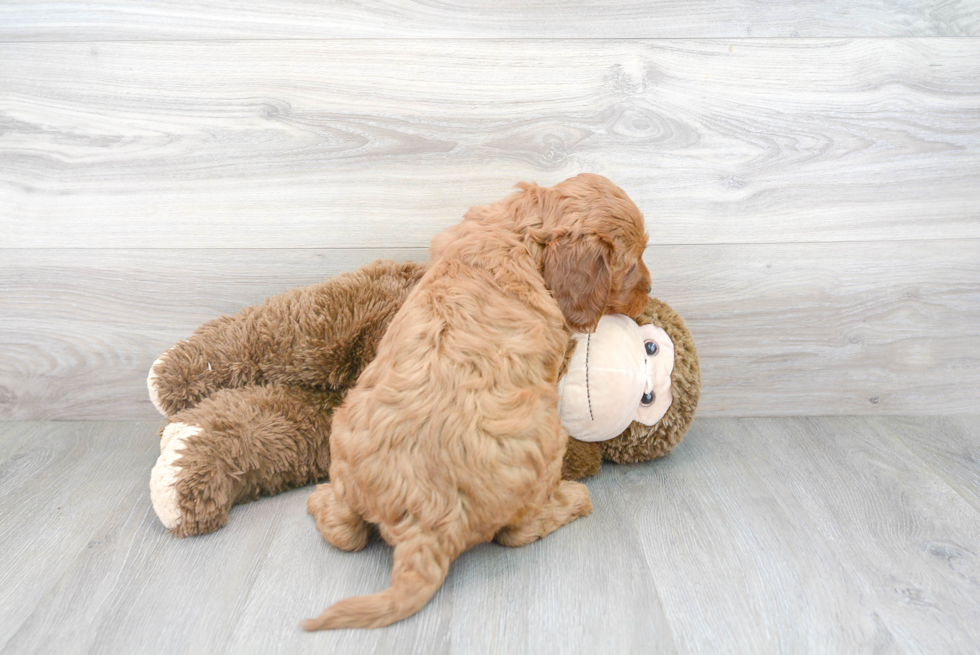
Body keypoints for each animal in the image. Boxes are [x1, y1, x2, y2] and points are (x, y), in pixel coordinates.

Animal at [298, 174, 652, 632]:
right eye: (632, 262)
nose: (650, 291)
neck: (519, 231)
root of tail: (424, 522)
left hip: (344, 432)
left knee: (345, 531)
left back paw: (320, 499)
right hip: (546, 440)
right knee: (517, 532)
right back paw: (574, 499)